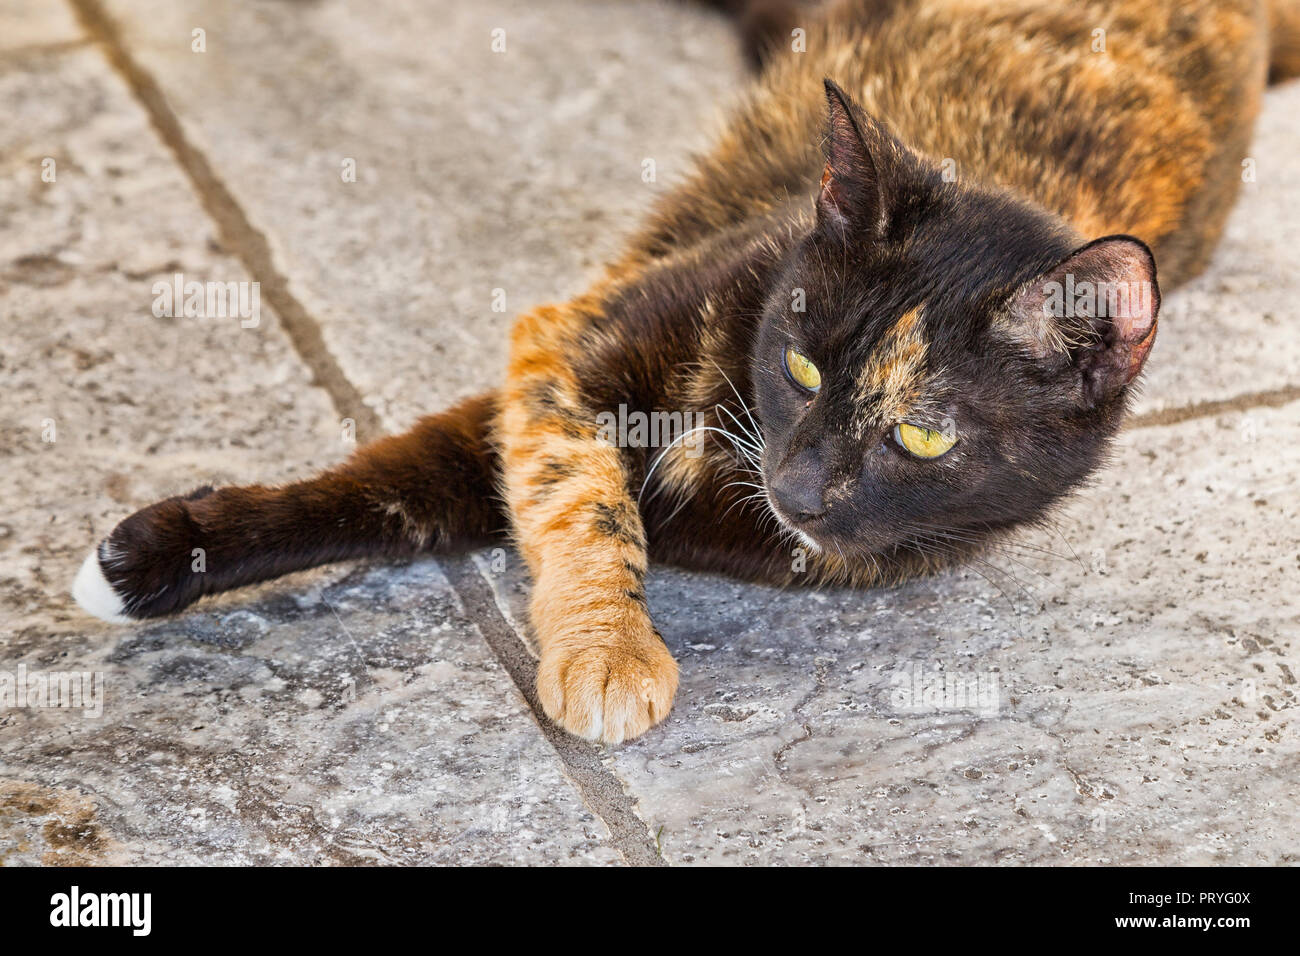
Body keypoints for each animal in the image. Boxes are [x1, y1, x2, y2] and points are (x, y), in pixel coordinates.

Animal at [73, 0, 1300, 743]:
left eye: (922, 435)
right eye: (799, 361)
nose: (798, 486)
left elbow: (441, 495)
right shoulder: (560, 344)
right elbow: (544, 494)